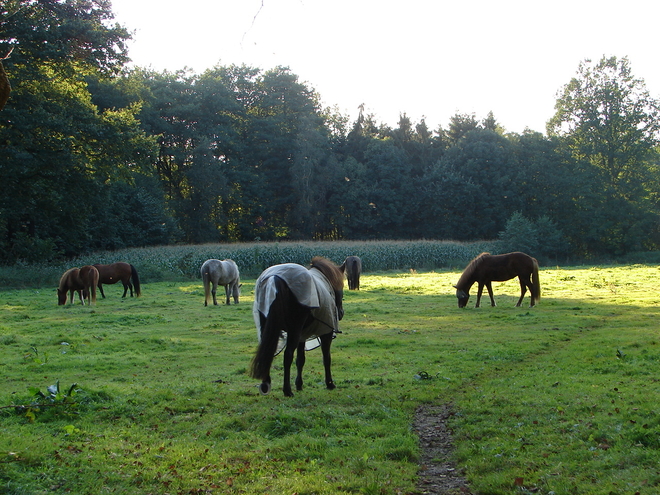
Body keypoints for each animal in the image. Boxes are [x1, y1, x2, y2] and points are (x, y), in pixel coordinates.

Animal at [250, 258, 348, 398]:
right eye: (342, 287)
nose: (341, 313)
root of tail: (275, 279)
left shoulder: (302, 335)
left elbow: (300, 359)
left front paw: (299, 384)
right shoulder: (326, 332)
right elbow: (326, 358)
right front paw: (330, 383)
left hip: (268, 329)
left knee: (268, 353)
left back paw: (265, 385)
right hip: (294, 331)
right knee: (287, 355)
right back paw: (287, 390)